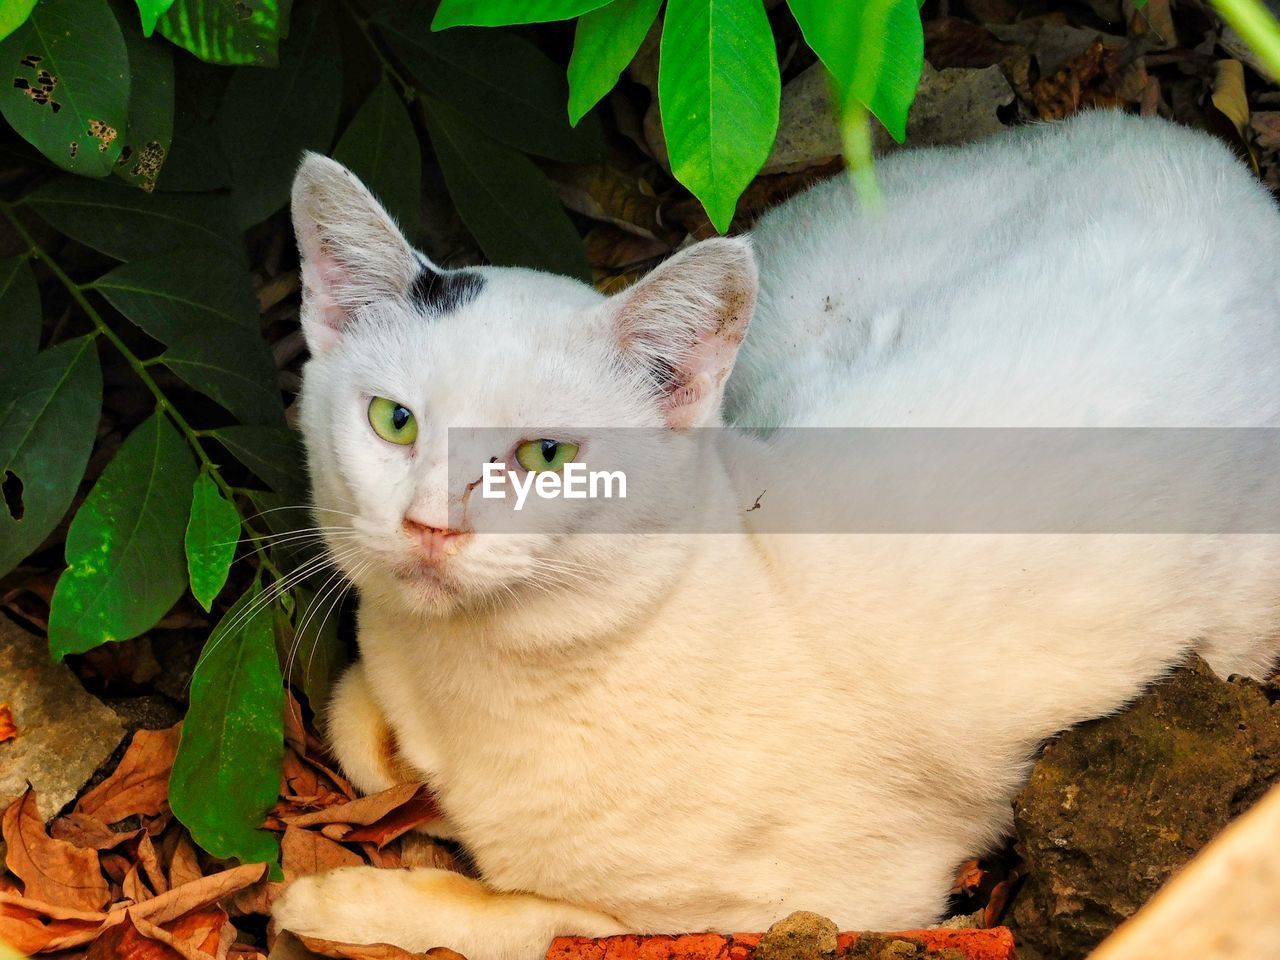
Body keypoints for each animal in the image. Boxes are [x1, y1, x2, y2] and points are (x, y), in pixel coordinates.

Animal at [272, 110, 1280, 957]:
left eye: (546, 454)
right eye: (394, 422)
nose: (429, 523)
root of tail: (1187, 146)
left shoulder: (830, 898)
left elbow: (527, 917)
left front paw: (333, 901)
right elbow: (357, 725)